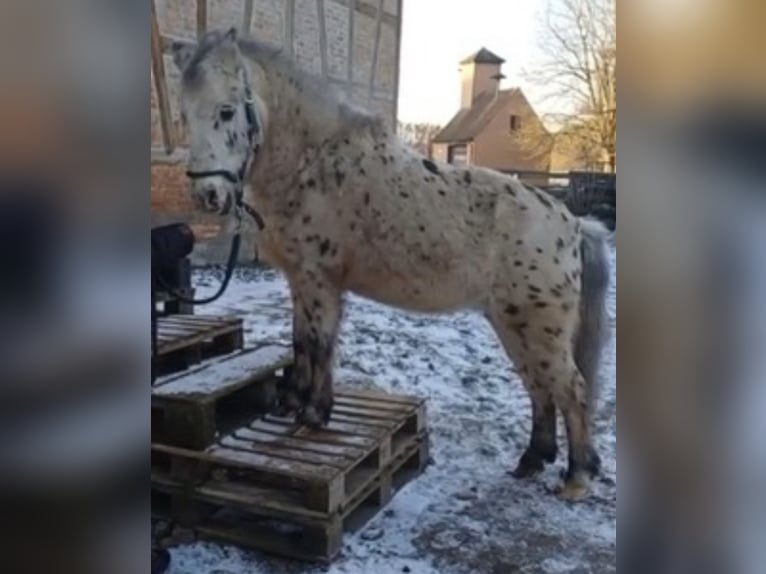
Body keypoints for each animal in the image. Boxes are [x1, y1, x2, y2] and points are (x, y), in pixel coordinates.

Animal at [171, 28, 611, 501]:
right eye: (183, 114)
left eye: (226, 109)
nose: (208, 196)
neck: (313, 164)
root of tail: (573, 223)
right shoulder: (302, 282)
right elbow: (302, 341)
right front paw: (297, 403)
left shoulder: (317, 280)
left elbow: (318, 343)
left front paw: (313, 415)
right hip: (513, 323)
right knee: (539, 386)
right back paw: (532, 460)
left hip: (536, 326)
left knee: (571, 389)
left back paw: (576, 477)